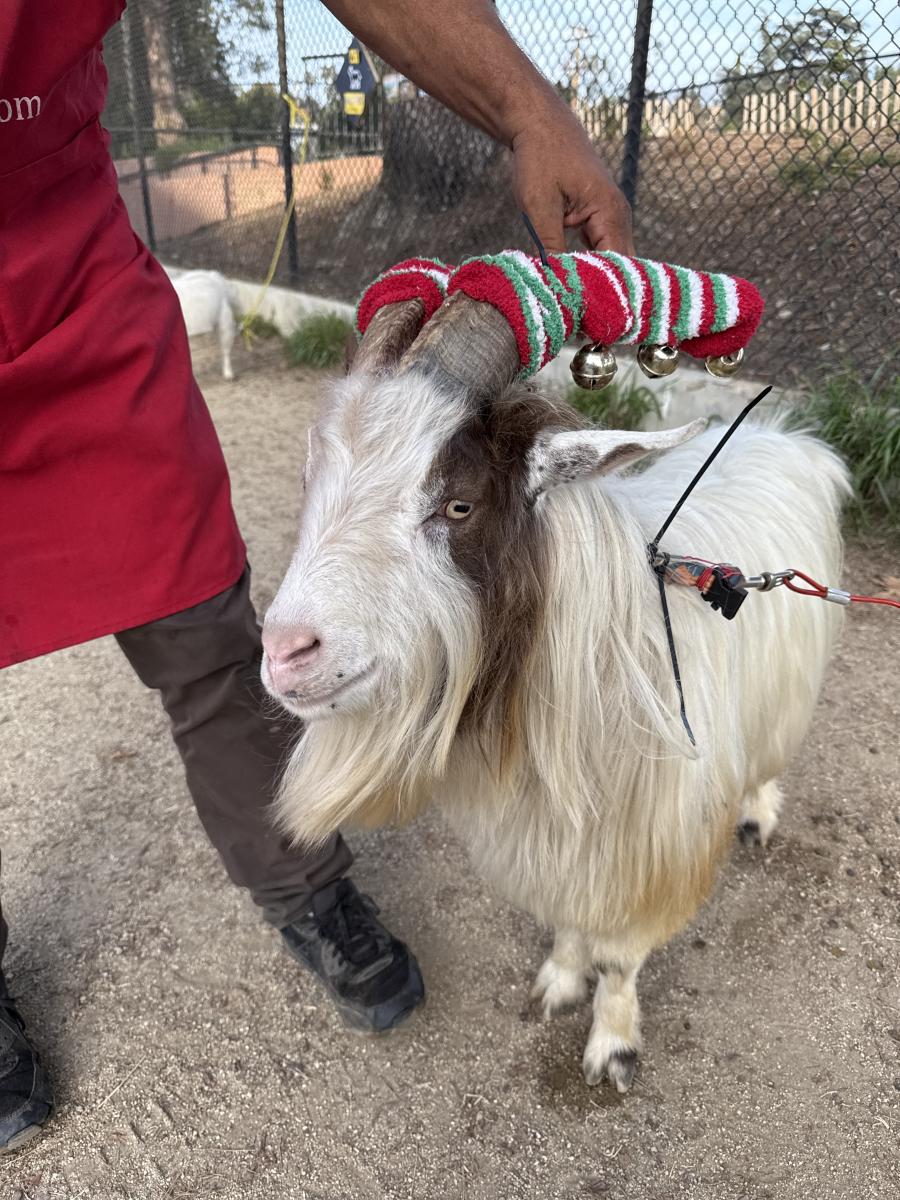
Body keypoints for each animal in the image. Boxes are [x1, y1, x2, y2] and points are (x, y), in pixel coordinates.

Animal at [261, 294, 849, 1091]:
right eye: (310, 477)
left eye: (459, 505)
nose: (285, 652)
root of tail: (789, 440)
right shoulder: (558, 840)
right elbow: (571, 923)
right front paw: (561, 982)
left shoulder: (647, 848)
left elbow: (621, 957)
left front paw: (612, 1044)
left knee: (769, 759)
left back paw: (757, 815)